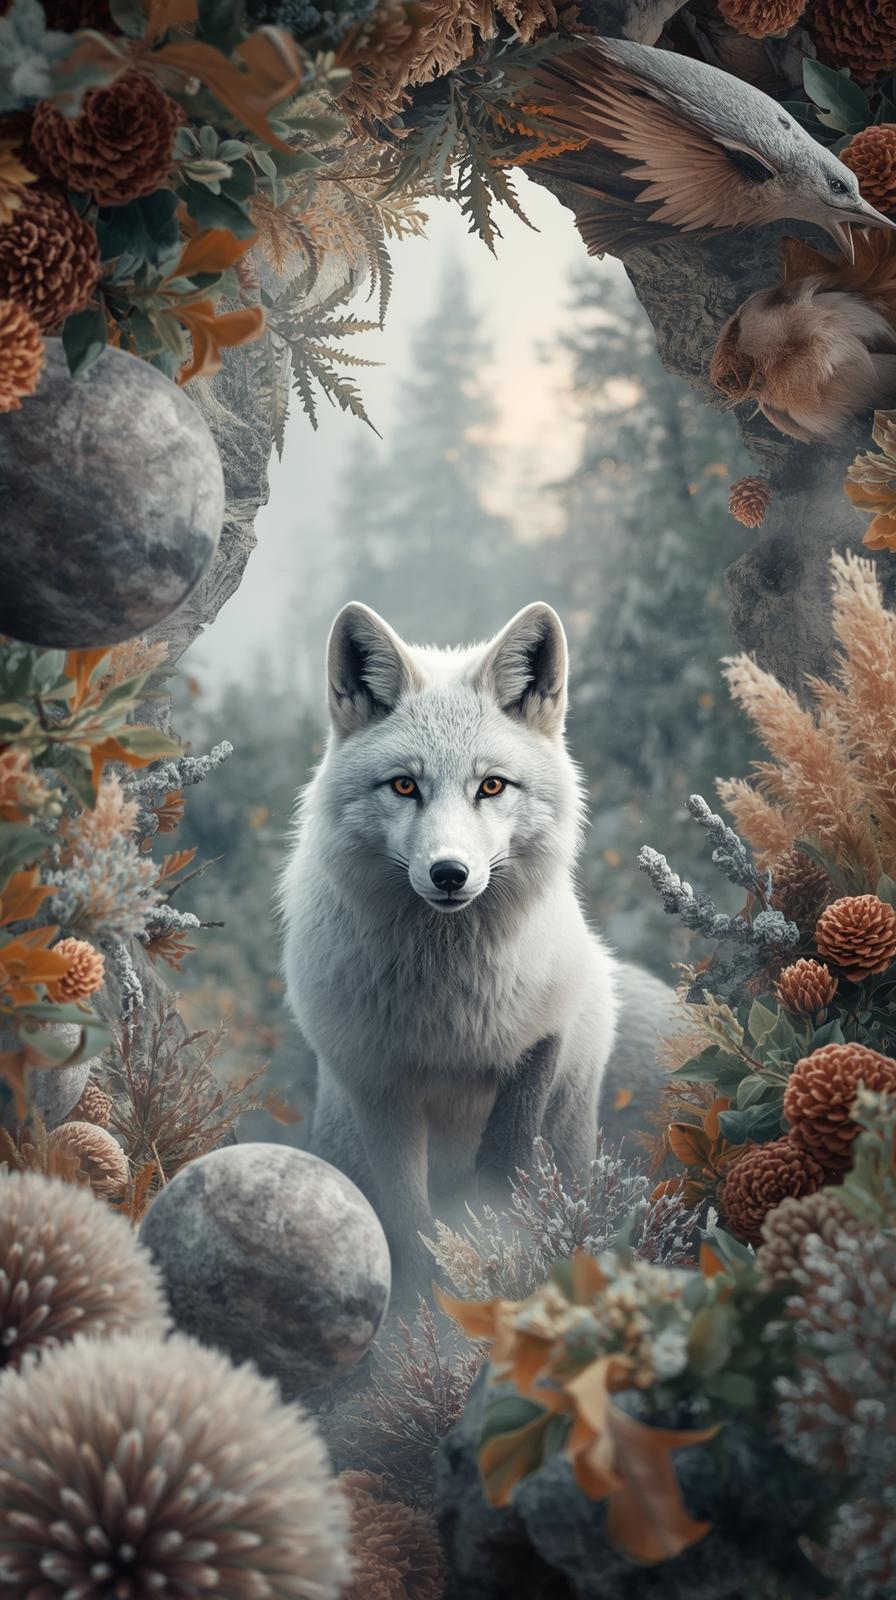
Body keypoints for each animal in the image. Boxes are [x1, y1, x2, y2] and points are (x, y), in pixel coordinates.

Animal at [279, 601, 677, 1287]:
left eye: (491, 786)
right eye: (404, 786)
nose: (449, 874)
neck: (449, 1005)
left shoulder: (537, 1042)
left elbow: (508, 1175)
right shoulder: (378, 1082)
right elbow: (410, 1228)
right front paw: (425, 1302)